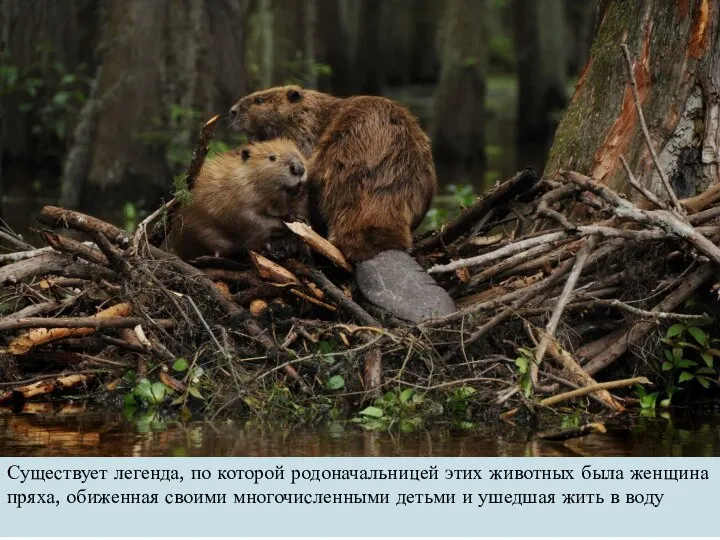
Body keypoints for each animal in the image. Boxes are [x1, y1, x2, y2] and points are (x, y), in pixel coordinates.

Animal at [172, 139, 312, 262]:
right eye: (272, 157)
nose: (298, 168)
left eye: (299, 154)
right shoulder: (235, 196)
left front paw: (302, 250)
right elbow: (249, 219)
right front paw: (292, 218)